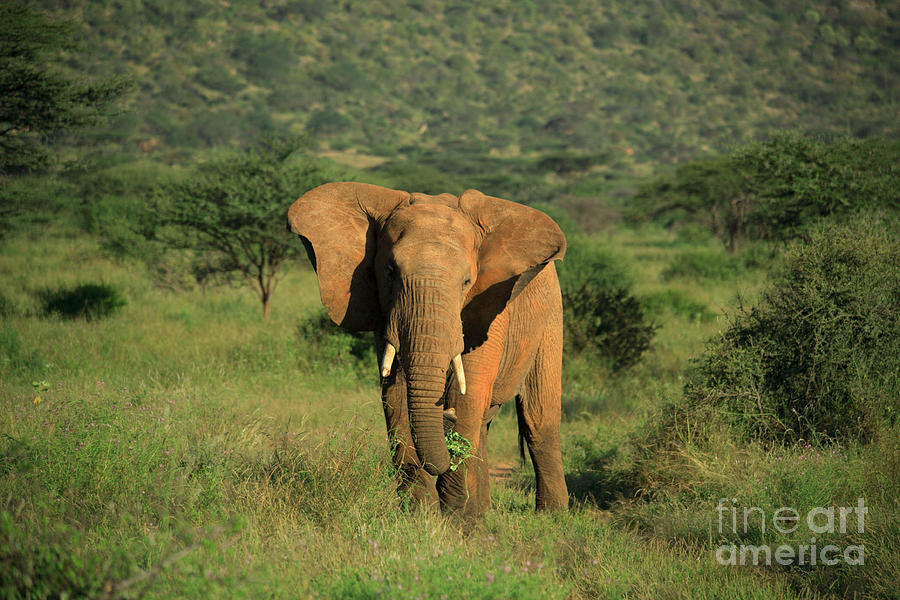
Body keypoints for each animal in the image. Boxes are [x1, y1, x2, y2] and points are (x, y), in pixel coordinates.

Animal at [288, 180, 568, 512]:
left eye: (467, 282)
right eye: (390, 272)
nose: (445, 416)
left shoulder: (491, 305)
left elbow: (468, 392)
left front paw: (455, 517)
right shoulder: (387, 314)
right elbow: (395, 397)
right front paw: (422, 513)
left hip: (551, 314)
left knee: (538, 419)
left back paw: (550, 516)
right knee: (485, 425)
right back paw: (482, 512)